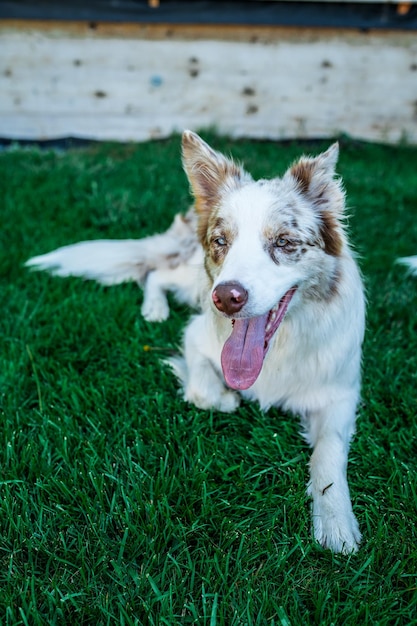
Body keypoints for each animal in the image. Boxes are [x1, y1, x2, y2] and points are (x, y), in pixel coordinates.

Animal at [26, 130, 364, 552]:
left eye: (284, 243)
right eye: (221, 241)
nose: (226, 298)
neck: (278, 349)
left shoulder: (342, 391)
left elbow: (329, 451)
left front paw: (335, 522)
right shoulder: (197, 336)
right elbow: (202, 392)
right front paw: (228, 398)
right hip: (191, 278)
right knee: (156, 272)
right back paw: (154, 308)